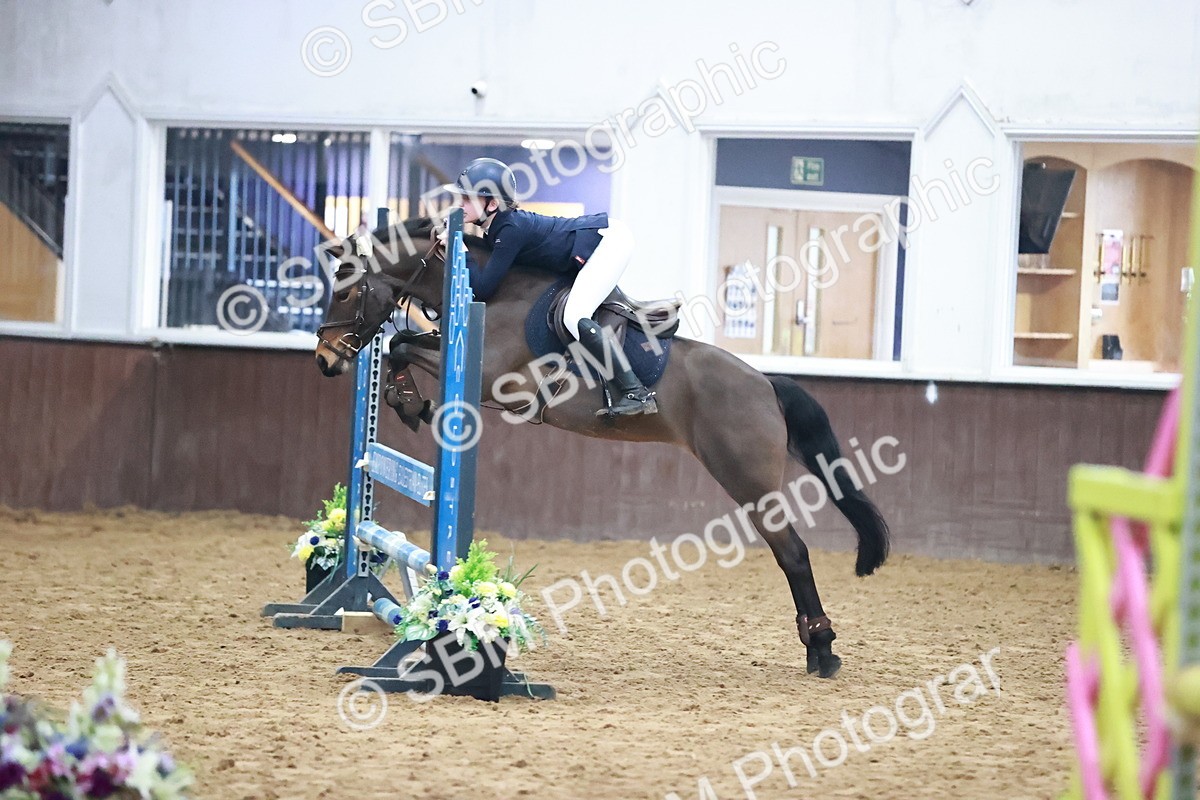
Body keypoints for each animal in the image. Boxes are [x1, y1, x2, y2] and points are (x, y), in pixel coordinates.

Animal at [313, 217, 890, 678]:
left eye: (343, 292)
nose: (324, 360)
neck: (492, 289)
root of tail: (767, 384)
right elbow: (400, 342)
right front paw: (409, 404)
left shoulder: (494, 378)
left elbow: (399, 342)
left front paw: (412, 405)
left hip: (747, 480)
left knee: (793, 553)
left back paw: (822, 650)